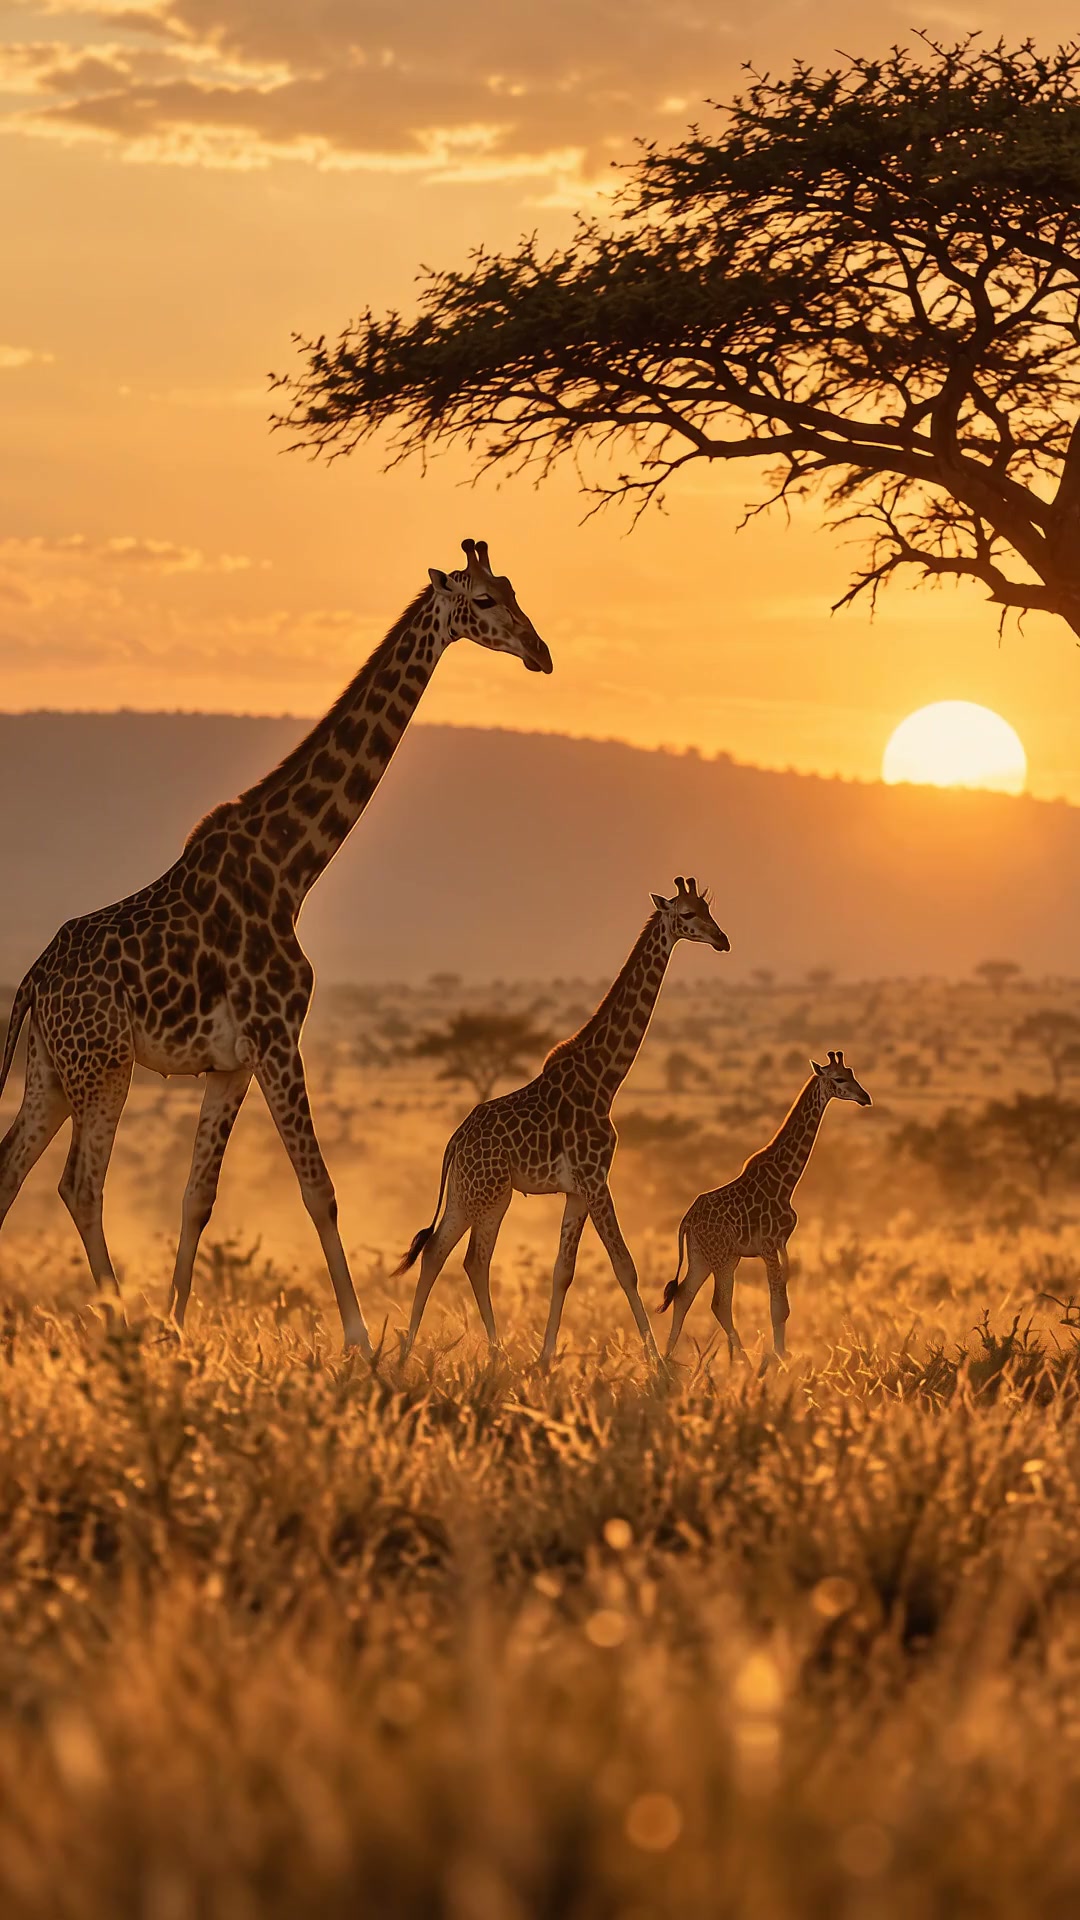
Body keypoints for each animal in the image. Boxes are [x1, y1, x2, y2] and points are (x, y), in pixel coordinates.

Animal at [0, 540, 551, 1350]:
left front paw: (179, 1330)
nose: (542, 653)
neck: (292, 867)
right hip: (102, 1065)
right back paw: (120, 1326)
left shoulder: (230, 1062)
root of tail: (33, 982)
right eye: (483, 601)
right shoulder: (276, 1034)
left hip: (51, 1069)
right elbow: (319, 1189)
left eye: (513, 589)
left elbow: (198, 1196)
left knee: (11, 1169)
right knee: (79, 1184)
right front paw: (360, 1343)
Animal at [397, 878, 729, 1366]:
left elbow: (563, 1271)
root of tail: (455, 1141)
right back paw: (486, 1352)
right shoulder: (595, 1178)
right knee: (471, 1258)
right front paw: (655, 1365)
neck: (604, 1078)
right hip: (491, 1195)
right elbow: (625, 1266)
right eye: (687, 915)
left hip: (466, 1191)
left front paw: (545, 1358)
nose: (723, 940)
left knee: (439, 1251)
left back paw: (416, 1354)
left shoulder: (577, 1190)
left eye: (709, 909)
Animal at [659, 1050, 872, 1361]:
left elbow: (783, 1302)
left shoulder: (782, 1243)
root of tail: (687, 1220)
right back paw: (743, 1361)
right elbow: (777, 1306)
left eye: (853, 1073)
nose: (865, 1097)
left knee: (684, 1294)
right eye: (839, 1079)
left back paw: (665, 1360)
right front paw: (781, 1356)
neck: (786, 1180)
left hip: (702, 1255)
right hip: (723, 1257)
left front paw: (783, 1353)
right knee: (719, 1303)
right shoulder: (769, 1245)